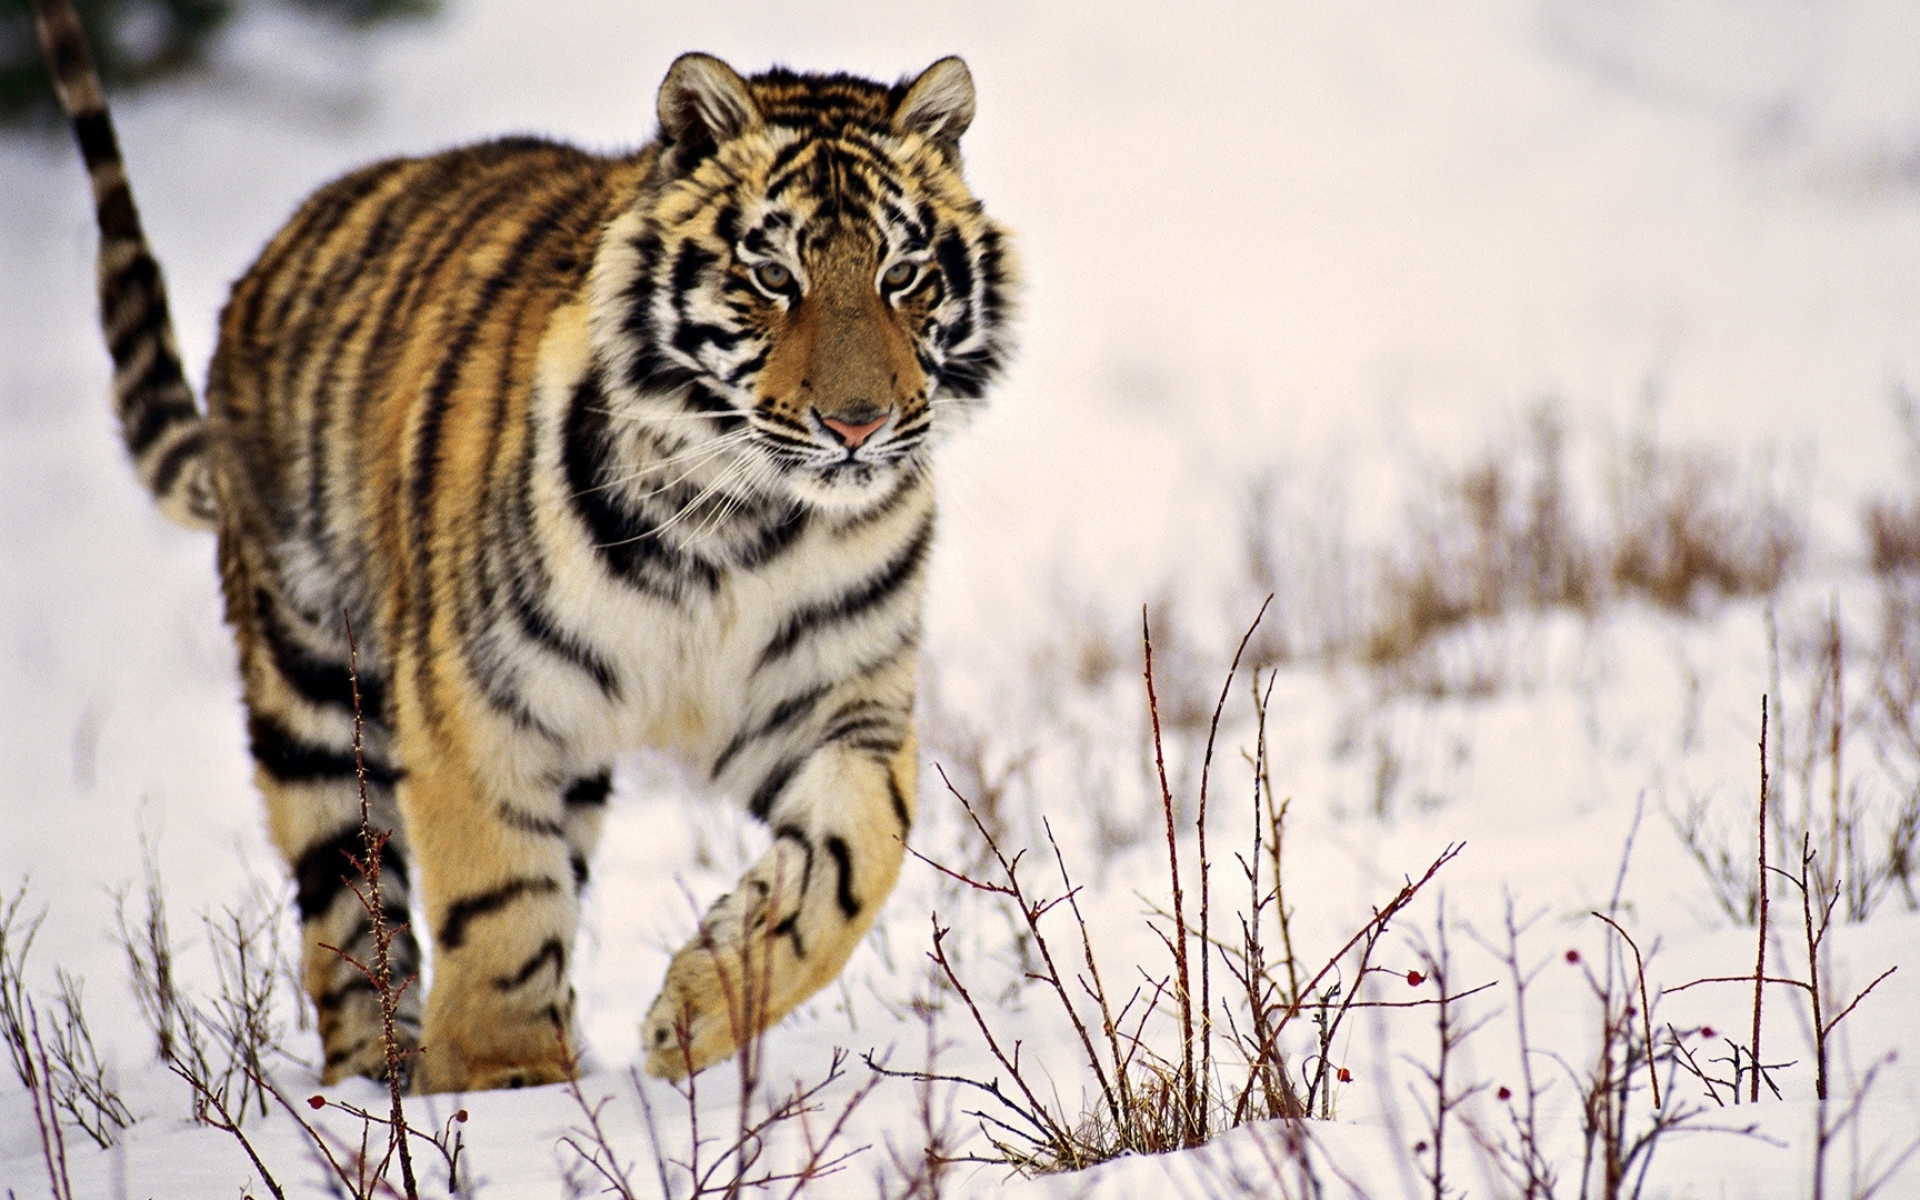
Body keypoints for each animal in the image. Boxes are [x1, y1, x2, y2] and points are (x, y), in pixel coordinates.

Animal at [31, 0, 1014, 1091]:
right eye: (772, 276)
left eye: (903, 275)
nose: (857, 424)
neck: (740, 522)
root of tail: (275, 252)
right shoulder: (477, 697)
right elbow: (498, 895)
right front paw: (509, 1084)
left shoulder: (836, 699)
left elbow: (855, 856)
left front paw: (698, 1010)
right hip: (315, 693)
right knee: (347, 915)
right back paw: (377, 1084)